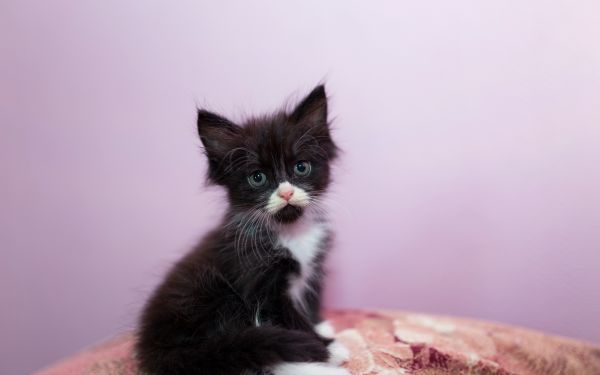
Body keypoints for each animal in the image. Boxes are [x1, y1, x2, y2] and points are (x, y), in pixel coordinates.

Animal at [135, 86, 352, 375]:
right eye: (257, 178)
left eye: (301, 167)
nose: (286, 192)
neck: (290, 232)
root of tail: (160, 352)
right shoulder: (258, 281)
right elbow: (291, 320)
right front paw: (328, 348)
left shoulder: (312, 266)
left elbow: (309, 298)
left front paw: (321, 325)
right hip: (212, 296)